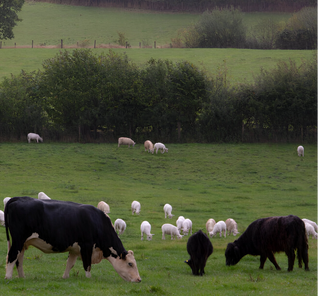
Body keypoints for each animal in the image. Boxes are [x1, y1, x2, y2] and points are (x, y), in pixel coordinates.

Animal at [4, 197, 142, 282]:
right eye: (130, 263)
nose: (139, 279)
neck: (97, 222)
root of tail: (18, 198)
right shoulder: (86, 246)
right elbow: (87, 265)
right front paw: (88, 279)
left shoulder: (75, 249)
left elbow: (70, 264)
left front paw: (65, 277)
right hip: (18, 240)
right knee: (12, 256)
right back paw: (8, 277)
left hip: (23, 243)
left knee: (19, 259)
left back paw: (22, 277)